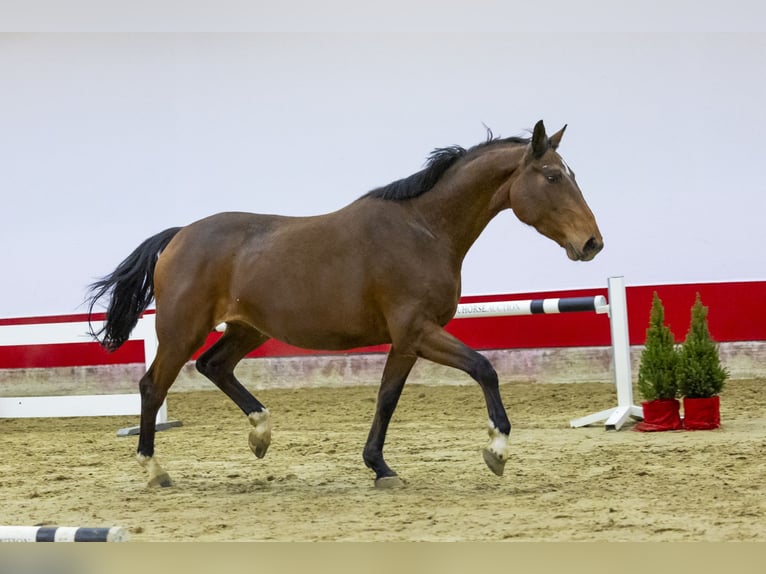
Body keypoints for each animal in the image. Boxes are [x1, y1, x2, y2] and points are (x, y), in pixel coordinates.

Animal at [87, 121, 608, 490]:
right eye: (552, 176)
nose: (592, 243)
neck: (424, 230)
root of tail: (179, 236)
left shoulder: (406, 341)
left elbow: (386, 399)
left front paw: (380, 467)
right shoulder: (418, 331)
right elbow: (484, 368)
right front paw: (497, 450)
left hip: (247, 329)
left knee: (213, 366)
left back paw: (260, 433)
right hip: (182, 330)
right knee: (153, 386)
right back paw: (155, 470)